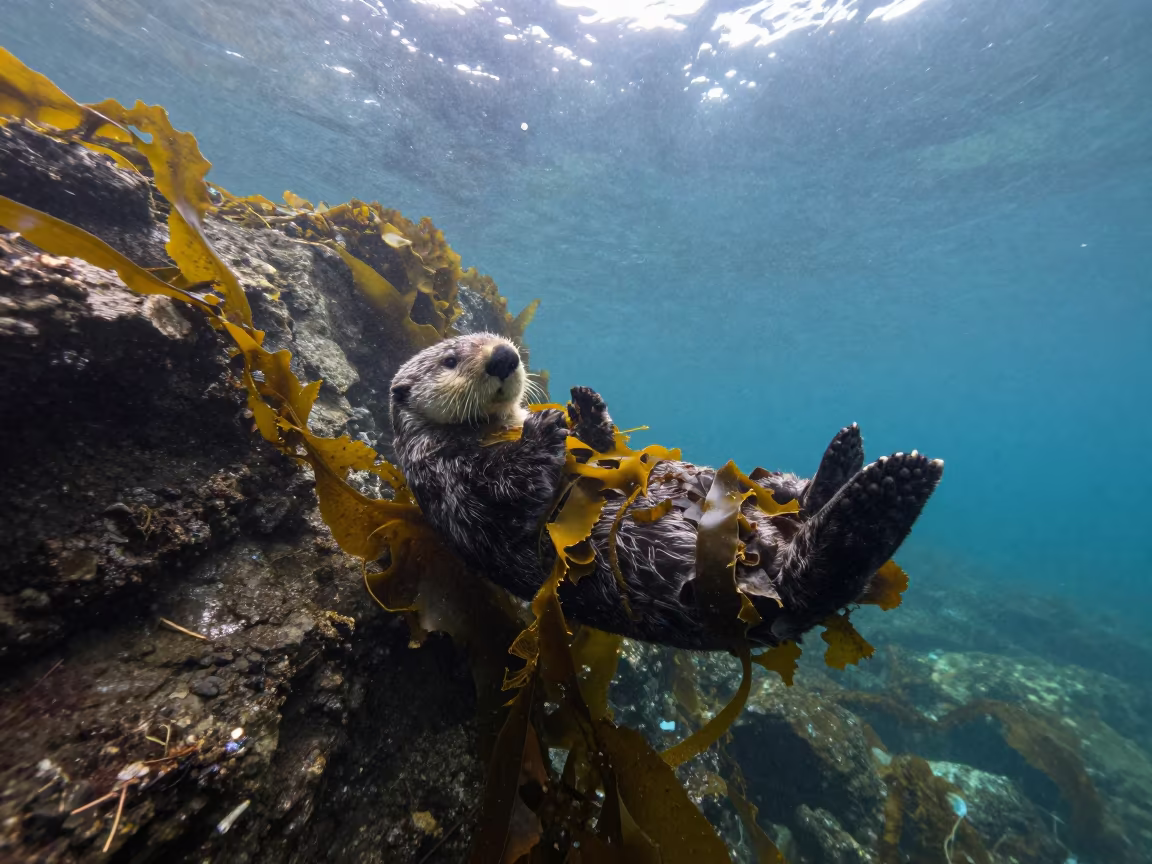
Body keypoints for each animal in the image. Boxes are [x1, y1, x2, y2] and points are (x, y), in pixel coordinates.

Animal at [389, 333, 943, 650]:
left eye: (498, 337)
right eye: (450, 360)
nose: (505, 356)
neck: (494, 429)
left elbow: (604, 448)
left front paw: (585, 408)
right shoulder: (451, 483)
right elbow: (511, 495)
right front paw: (546, 427)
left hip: (766, 492)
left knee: (796, 499)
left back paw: (846, 457)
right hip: (762, 595)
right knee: (823, 573)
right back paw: (891, 486)